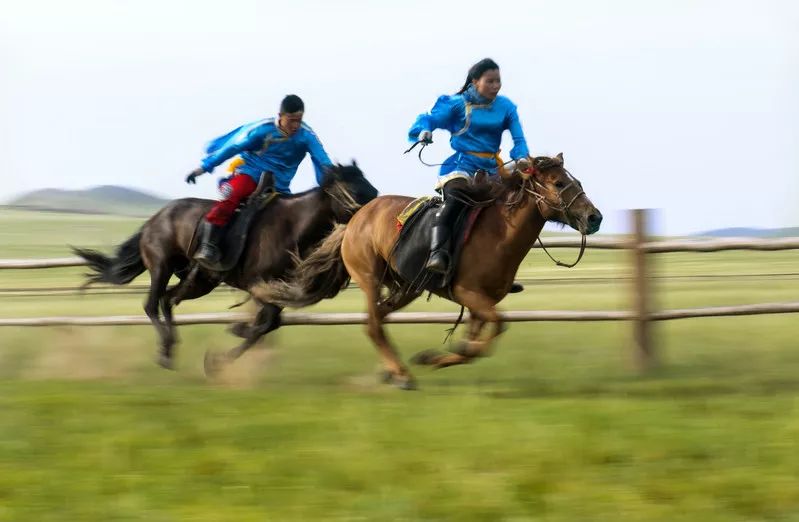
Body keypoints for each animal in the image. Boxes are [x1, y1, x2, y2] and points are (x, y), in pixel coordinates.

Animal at [72, 164, 378, 370]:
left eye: (370, 186)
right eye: (355, 188)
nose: (372, 212)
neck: (292, 225)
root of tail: (153, 220)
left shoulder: (275, 288)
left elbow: (269, 324)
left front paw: (228, 346)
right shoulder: (258, 284)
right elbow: (265, 323)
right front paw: (221, 356)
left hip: (200, 280)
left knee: (168, 300)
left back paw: (170, 348)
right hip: (161, 266)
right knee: (152, 304)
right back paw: (165, 351)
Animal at [266, 154, 604, 386]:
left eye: (577, 183)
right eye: (559, 183)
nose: (594, 217)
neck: (498, 234)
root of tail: (355, 218)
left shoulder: (481, 303)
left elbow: (474, 343)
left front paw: (434, 357)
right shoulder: (468, 293)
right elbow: (497, 327)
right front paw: (435, 357)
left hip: (407, 287)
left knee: (380, 317)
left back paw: (391, 370)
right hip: (370, 277)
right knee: (373, 324)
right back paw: (401, 375)